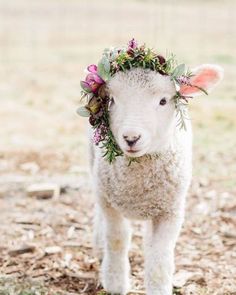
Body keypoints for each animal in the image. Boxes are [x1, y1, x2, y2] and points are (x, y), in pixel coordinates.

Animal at [82, 47, 223, 294]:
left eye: (163, 101)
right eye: (112, 100)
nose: (131, 138)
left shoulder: (171, 212)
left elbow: (160, 255)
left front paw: (158, 287)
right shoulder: (110, 204)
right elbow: (117, 239)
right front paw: (115, 282)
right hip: (97, 178)